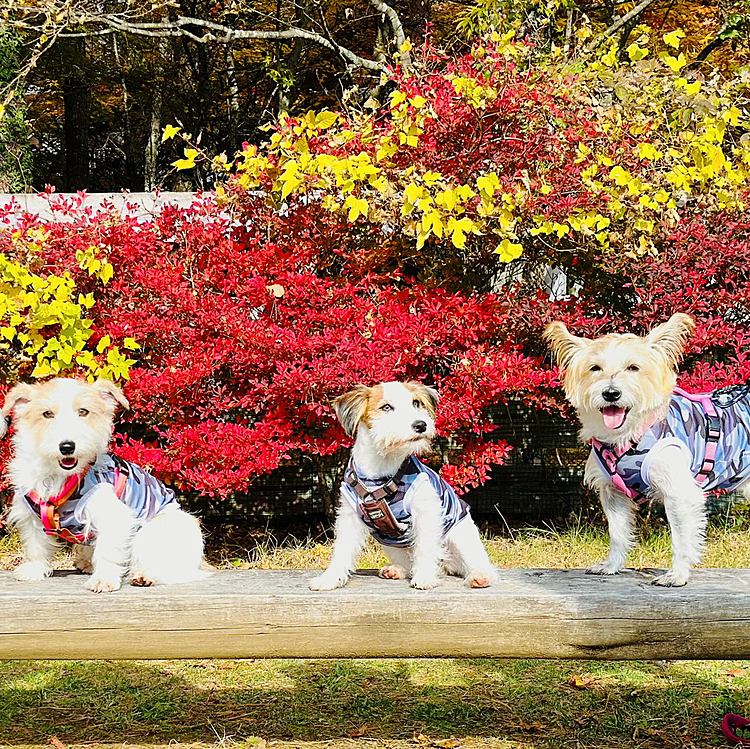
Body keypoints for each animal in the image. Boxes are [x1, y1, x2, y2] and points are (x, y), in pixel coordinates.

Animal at [1, 376, 207, 592]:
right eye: (47, 414)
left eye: (83, 411)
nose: (67, 446)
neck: (59, 476)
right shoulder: (31, 515)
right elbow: (35, 546)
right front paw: (34, 570)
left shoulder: (112, 515)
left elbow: (107, 551)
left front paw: (104, 578)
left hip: (157, 530)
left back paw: (144, 575)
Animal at [312, 380, 500, 592]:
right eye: (386, 407)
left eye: (416, 403)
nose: (421, 425)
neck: (380, 469)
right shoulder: (349, 517)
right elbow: (342, 549)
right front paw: (330, 578)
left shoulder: (426, 513)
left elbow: (425, 547)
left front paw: (424, 577)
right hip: (389, 542)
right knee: (407, 563)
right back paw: (396, 570)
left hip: (461, 537)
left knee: (482, 565)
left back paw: (479, 576)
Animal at [544, 312, 750, 588]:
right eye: (595, 368)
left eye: (633, 368)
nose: (611, 393)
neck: (629, 435)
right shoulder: (612, 494)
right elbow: (618, 534)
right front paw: (611, 566)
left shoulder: (679, 494)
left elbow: (681, 539)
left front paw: (677, 575)